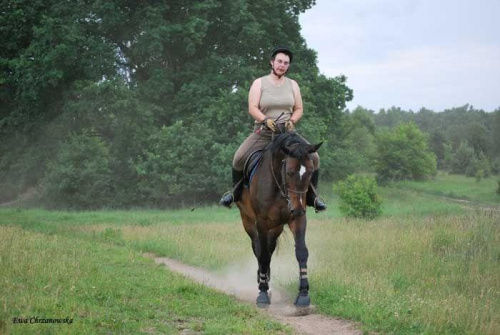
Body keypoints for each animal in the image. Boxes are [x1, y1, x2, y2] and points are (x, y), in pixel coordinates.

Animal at [236, 132, 322, 310]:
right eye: (289, 172)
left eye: (311, 172)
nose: (297, 209)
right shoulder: (261, 222)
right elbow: (263, 255)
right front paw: (262, 293)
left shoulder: (298, 220)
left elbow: (301, 252)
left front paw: (303, 295)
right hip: (248, 221)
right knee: (258, 248)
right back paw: (262, 279)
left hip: (276, 227)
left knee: (269, 247)